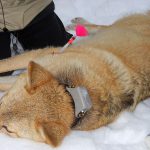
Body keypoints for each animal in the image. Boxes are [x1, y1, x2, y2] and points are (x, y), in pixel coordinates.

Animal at [0, 12, 149, 146]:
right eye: (1, 101)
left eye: (7, 129)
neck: (74, 94)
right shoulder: (43, 55)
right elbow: (4, 65)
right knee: (100, 27)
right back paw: (79, 24)